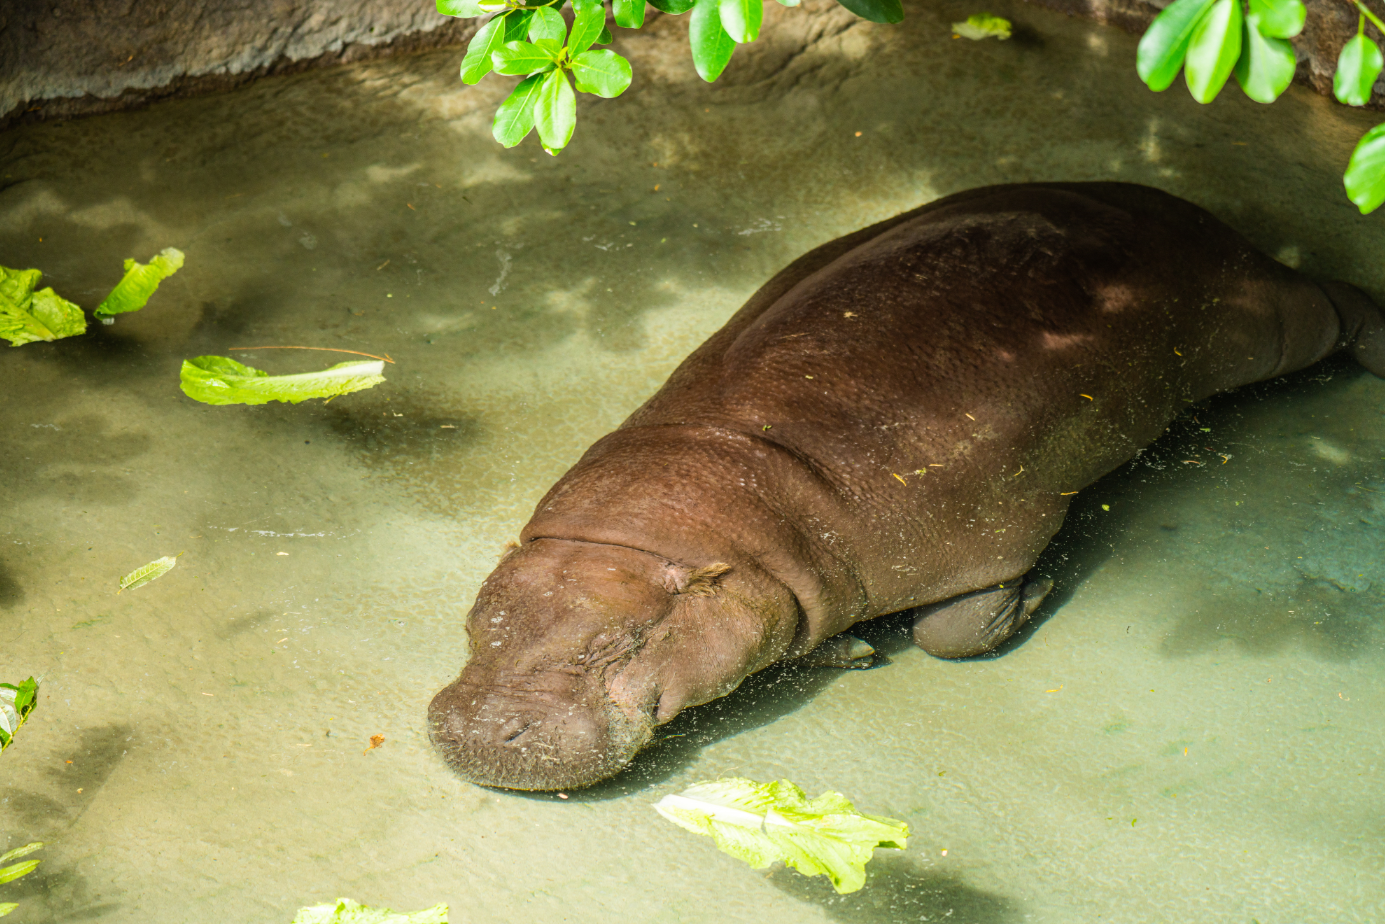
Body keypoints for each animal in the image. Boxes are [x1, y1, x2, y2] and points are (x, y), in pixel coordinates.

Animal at [429, 182, 1385, 791]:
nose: (477, 727)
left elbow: (955, 632)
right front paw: (849, 651)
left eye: (618, 646)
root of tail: (1190, 214)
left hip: (1266, 326)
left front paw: (1033, 598)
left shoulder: (993, 529)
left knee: (1334, 302)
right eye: (475, 623)